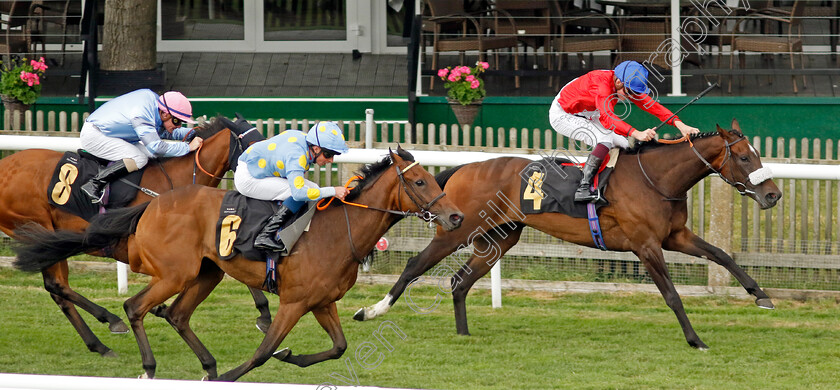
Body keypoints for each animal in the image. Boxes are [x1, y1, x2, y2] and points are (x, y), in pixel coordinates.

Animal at [0, 119, 266, 356]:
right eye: (254, 147)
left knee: (58, 290)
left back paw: (99, 345)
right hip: (36, 226)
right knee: (56, 285)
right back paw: (111, 320)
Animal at [9, 147, 462, 380]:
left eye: (434, 179)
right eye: (419, 181)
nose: (456, 216)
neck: (338, 230)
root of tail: (150, 206)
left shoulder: (321, 302)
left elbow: (338, 347)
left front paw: (291, 357)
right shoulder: (294, 302)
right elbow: (264, 351)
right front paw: (238, 372)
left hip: (206, 272)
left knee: (176, 314)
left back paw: (207, 366)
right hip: (176, 272)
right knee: (136, 307)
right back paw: (149, 365)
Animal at [352, 120, 780, 348]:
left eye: (757, 154)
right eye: (745, 157)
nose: (773, 194)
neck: (656, 178)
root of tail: (461, 169)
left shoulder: (675, 236)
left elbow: (722, 255)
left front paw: (761, 295)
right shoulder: (645, 245)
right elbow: (672, 295)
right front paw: (695, 340)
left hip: (501, 237)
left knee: (460, 281)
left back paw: (464, 333)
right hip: (457, 230)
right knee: (413, 265)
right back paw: (370, 311)